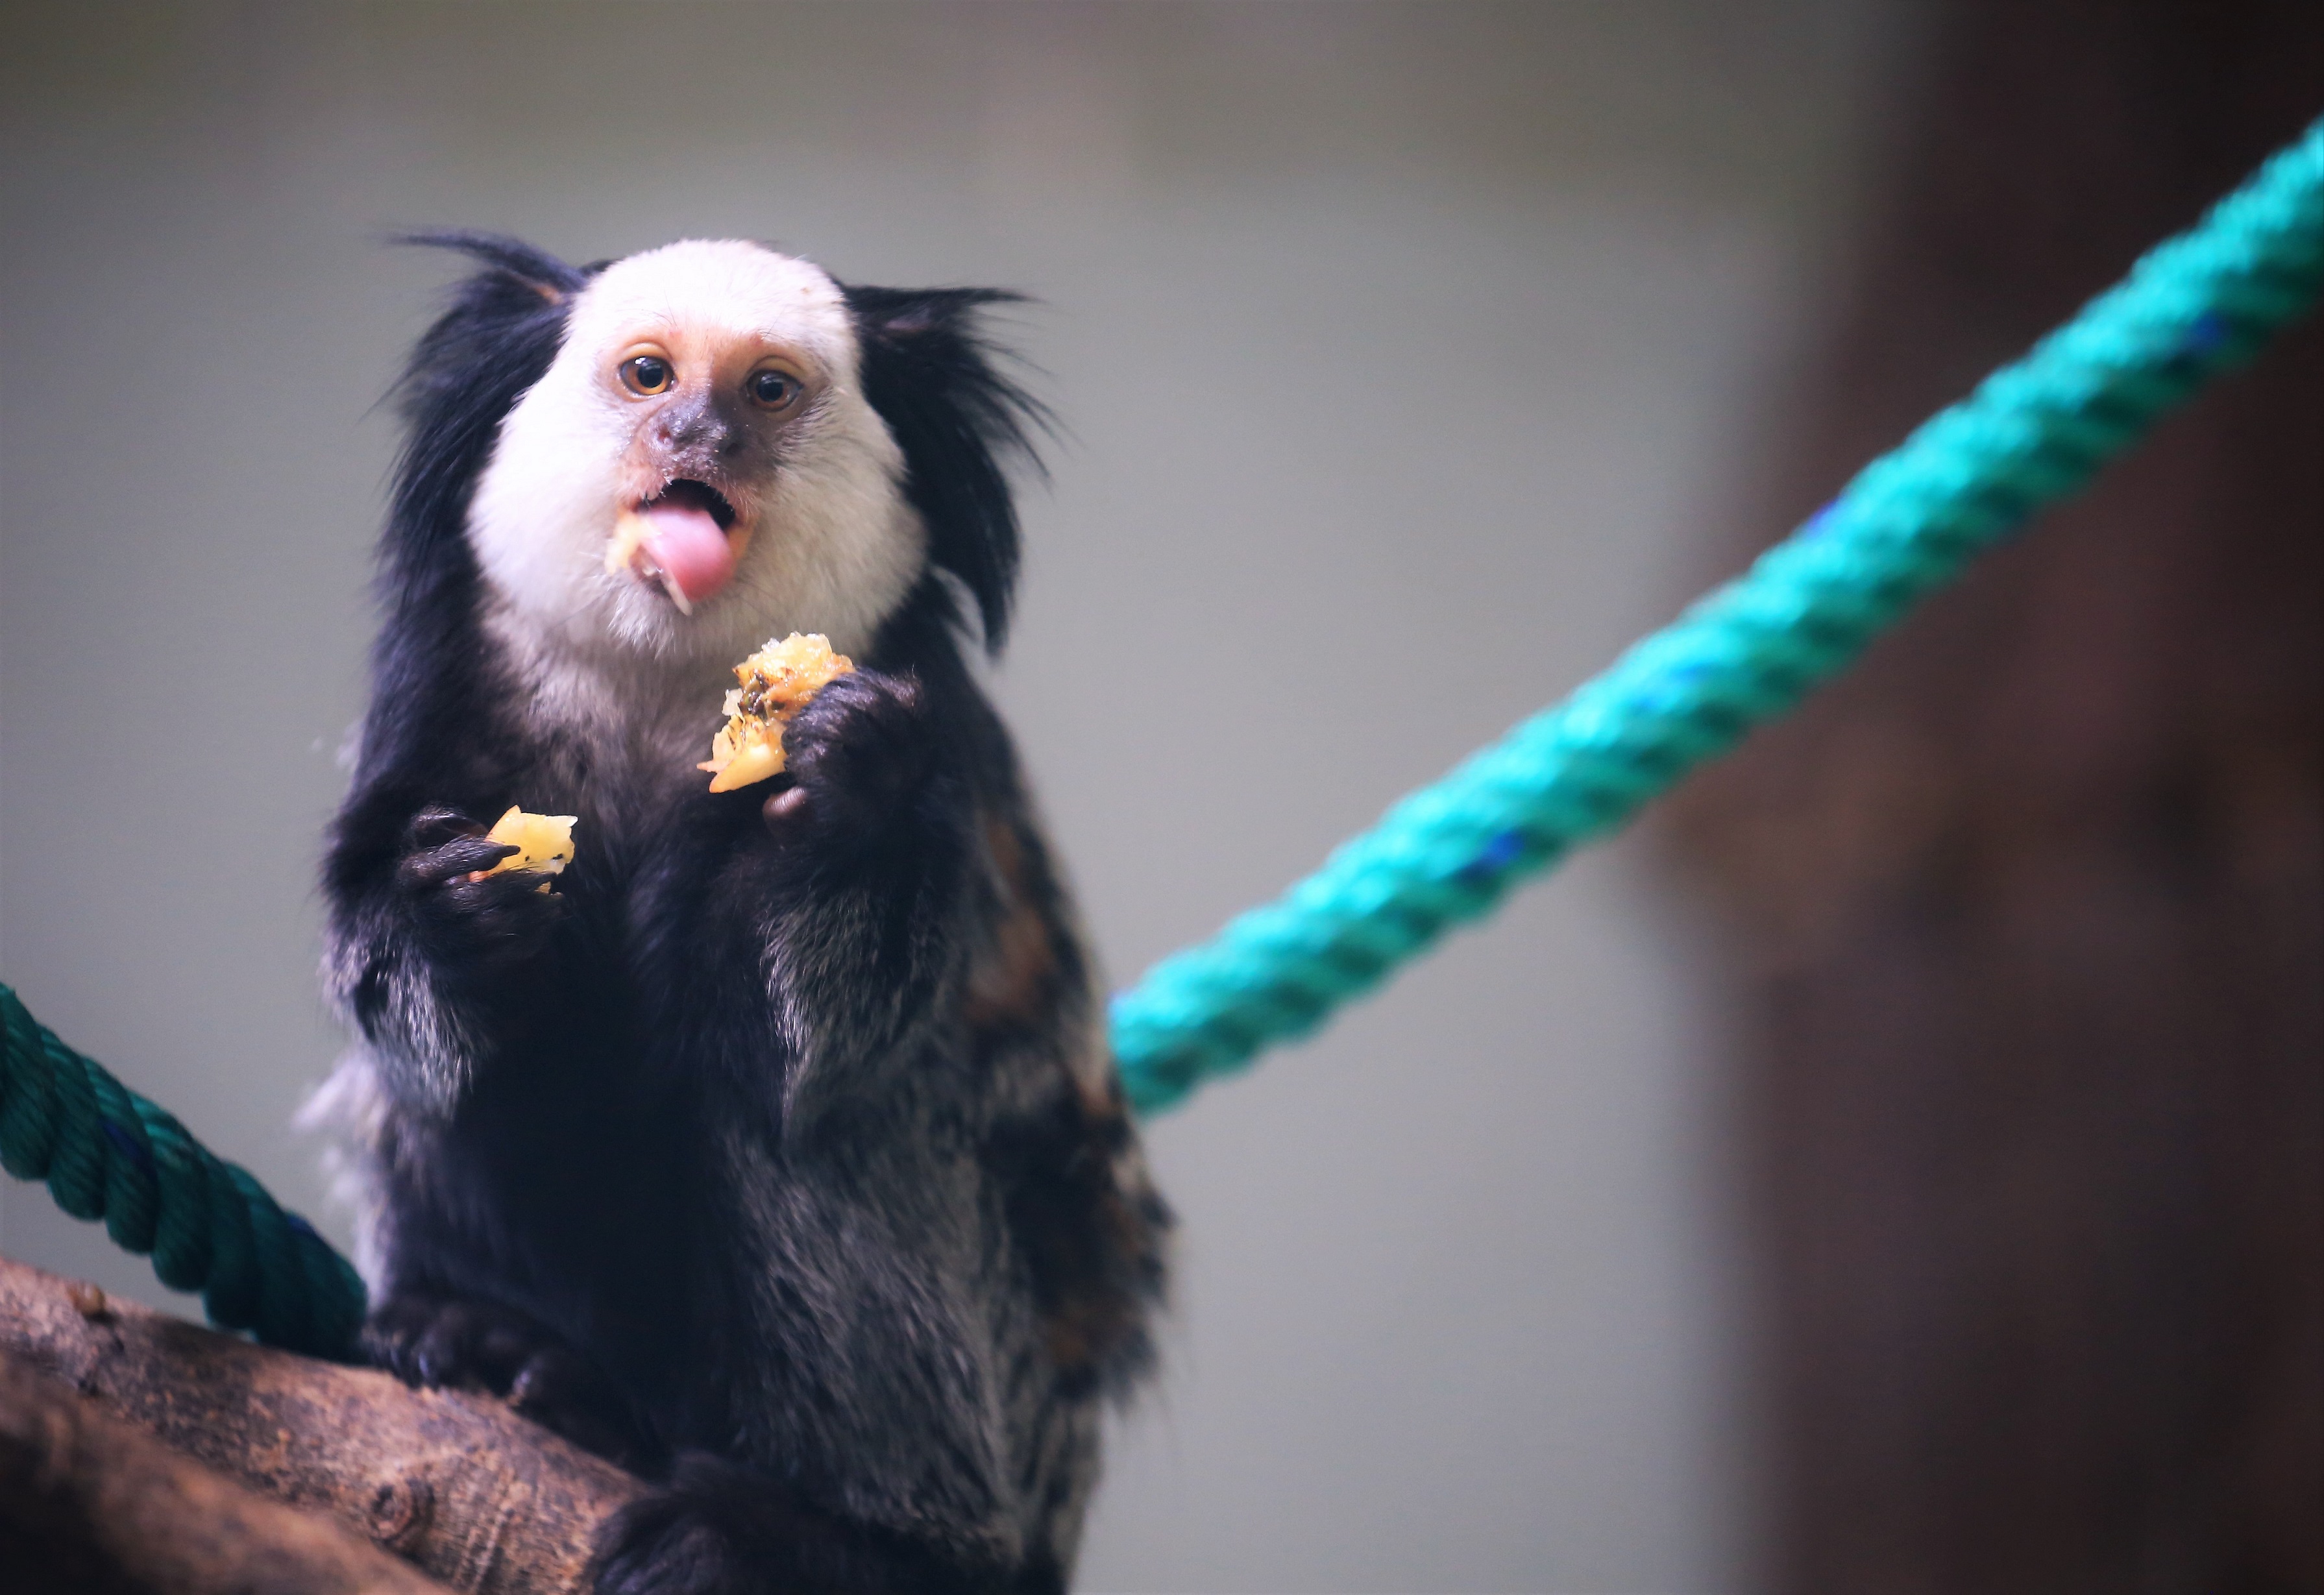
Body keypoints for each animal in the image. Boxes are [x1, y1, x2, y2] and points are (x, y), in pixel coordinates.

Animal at [307, 232, 1168, 1594]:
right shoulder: (434, 701)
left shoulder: (938, 733)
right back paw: (513, 1353)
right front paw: (447, 917)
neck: (666, 694)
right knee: (431, 1097)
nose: (698, 435)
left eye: (767, 389)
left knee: (817, 1120)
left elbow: (821, 1036)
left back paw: (848, 1537)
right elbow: (403, 1001)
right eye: (649, 375)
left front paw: (848, 790)